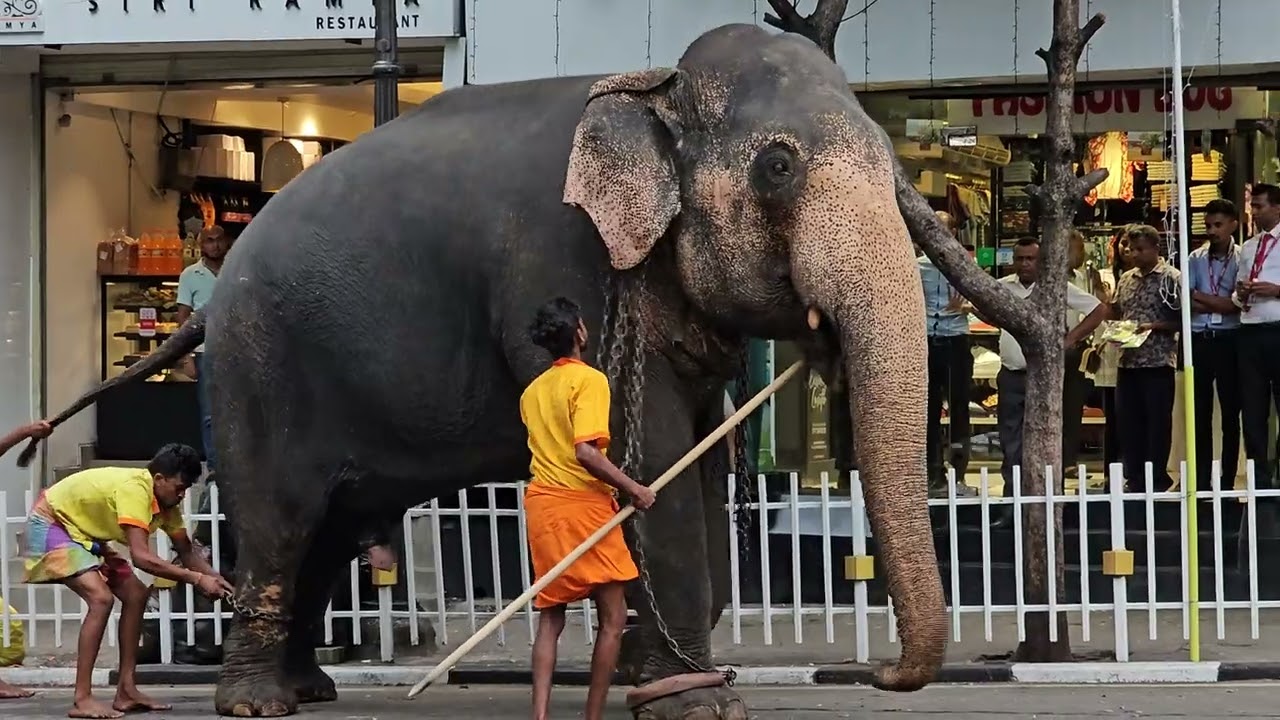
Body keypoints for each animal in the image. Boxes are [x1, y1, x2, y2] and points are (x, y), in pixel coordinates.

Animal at [38, 22, 946, 719]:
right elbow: (648, 457)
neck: (656, 86)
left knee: (329, 531)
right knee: (279, 523)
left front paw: (668, 681)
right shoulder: (567, 260)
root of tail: (212, 290)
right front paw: (699, 704)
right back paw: (259, 703)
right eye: (778, 167)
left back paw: (311, 689)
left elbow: (697, 459)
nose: (882, 673)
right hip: (258, 365)